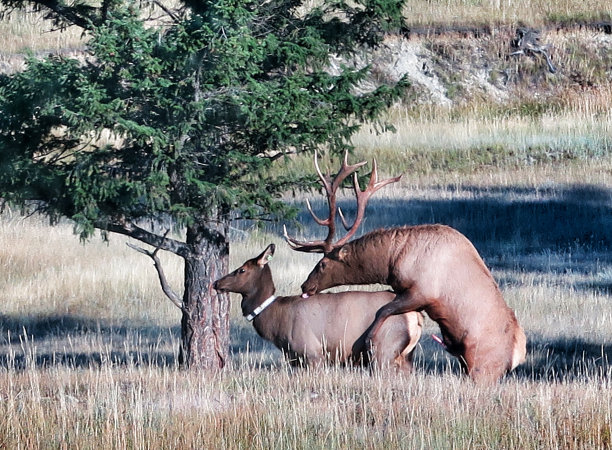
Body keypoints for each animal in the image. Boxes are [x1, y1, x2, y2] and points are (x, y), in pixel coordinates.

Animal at [213, 244, 424, 370]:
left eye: (242, 270)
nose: (216, 283)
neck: (276, 321)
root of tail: (416, 316)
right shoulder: (294, 359)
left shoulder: (312, 353)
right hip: (406, 356)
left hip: (383, 348)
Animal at [284, 153, 528, 384]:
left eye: (322, 264)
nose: (305, 286)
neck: (393, 260)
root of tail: (517, 357)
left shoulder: (423, 292)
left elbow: (383, 310)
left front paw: (369, 340)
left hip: (483, 368)